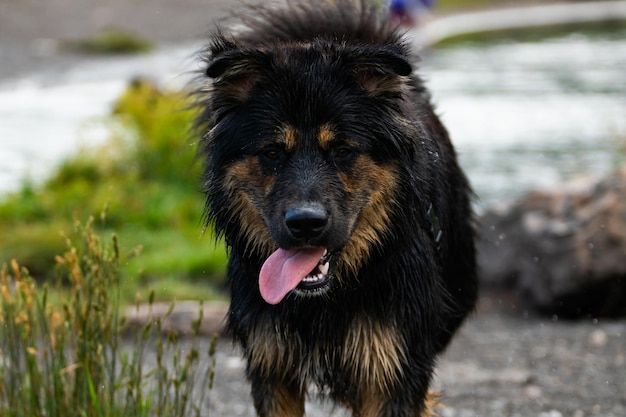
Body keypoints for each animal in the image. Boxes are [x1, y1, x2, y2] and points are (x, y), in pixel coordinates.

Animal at [195, 0, 472, 412]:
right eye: (272, 152)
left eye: (342, 150)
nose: (305, 224)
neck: (324, 301)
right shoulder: (271, 365)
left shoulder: (393, 364)